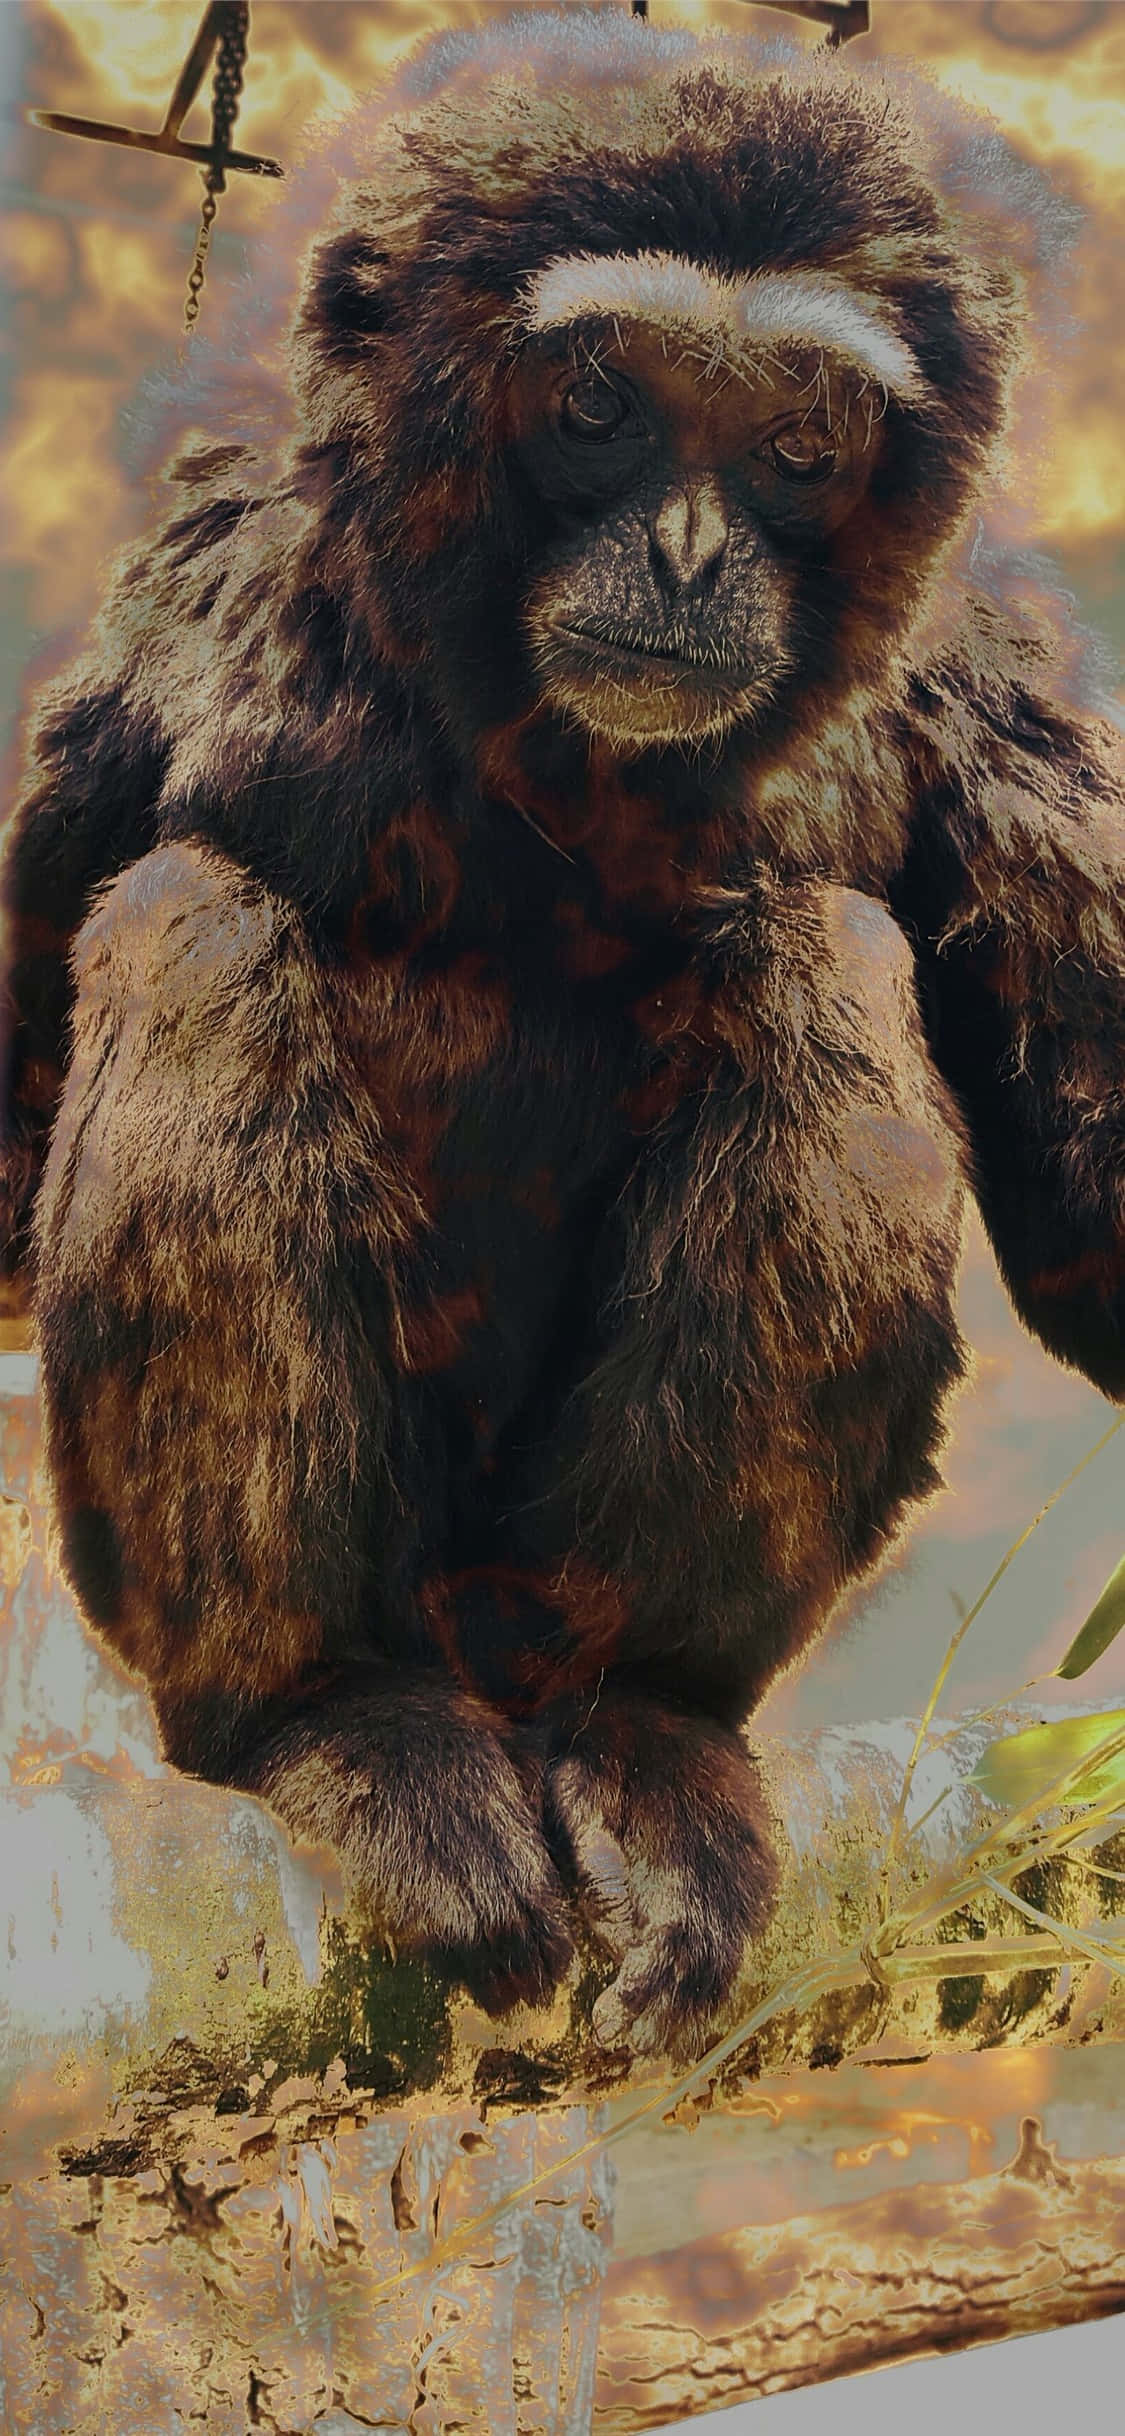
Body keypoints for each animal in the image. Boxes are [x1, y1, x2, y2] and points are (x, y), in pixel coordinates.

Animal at [1, 13, 1122, 2056]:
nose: (684, 550)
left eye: (794, 448)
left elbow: (1098, 1208)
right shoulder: (200, 573)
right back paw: (329, 1714)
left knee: (819, 953)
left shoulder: (989, 663)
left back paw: (644, 1724)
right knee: (194, 921)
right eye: (600, 406)